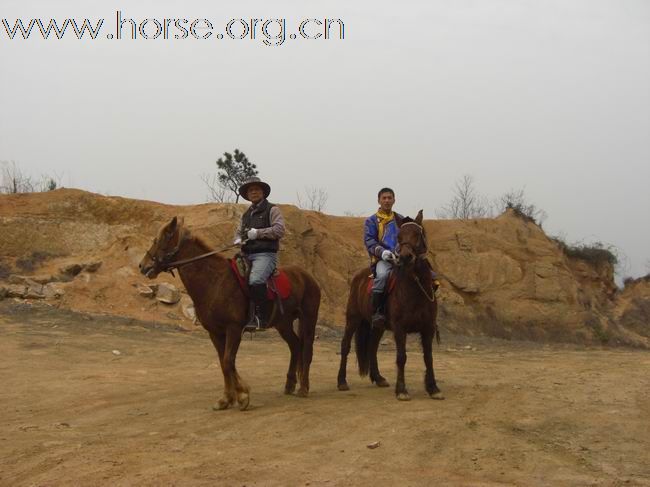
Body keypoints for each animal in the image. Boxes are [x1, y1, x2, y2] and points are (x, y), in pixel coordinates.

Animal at [138, 215, 320, 410]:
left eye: (161, 238)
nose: (142, 266)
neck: (215, 281)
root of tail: (307, 277)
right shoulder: (215, 332)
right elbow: (224, 362)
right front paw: (227, 398)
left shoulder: (234, 329)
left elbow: (228, 361)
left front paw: (242, 395)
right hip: (283, 324)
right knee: (295, 346)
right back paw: (289, 385)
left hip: (309, 320)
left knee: (307, 351)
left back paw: (303, 388)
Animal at [336, 212, 442, 402]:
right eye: (399, 237)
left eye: (417, 234)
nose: (405, 257)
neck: (415, 289)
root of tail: (359, 276)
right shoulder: (400, 328)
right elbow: (401, 357)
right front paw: (401, 390)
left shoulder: (428, 328)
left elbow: (428, 357)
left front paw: (433, 388)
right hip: (353, 319)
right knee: (345, 345)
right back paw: (341, 381)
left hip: (377, 326)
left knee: (372, 347)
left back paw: (378, 378)